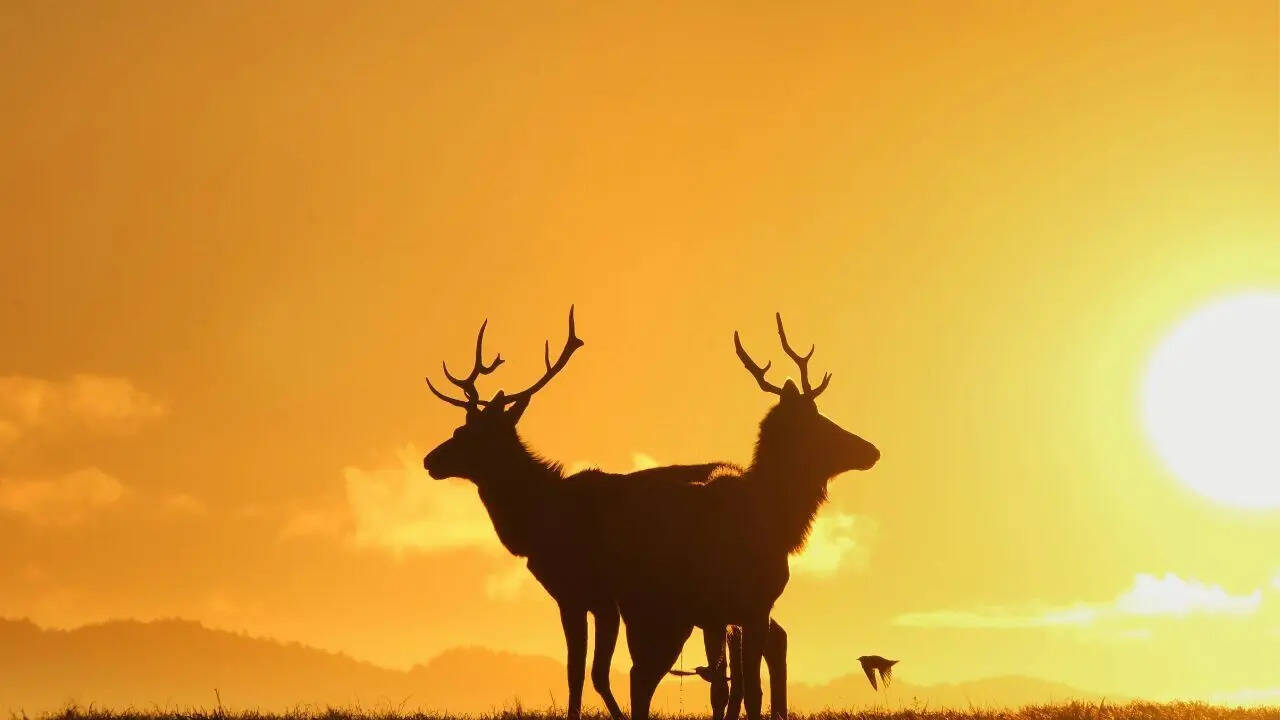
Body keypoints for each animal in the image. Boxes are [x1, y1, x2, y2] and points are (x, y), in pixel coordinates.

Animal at [420, 308, 788, 720]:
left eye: (468, 434)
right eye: (459, 427)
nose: (430, 461)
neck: (537, 522)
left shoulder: (585, 596)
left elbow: (587, 672)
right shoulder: (586, 599)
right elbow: (585, 672)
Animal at [579, 314, 881, 720]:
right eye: (822, 423)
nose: (872, 450)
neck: (778, 524)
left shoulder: (719, 616)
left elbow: (724, 690)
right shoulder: (755, 606)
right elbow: (750, 691)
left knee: (634, 676)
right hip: (659, 612)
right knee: (638, 678)